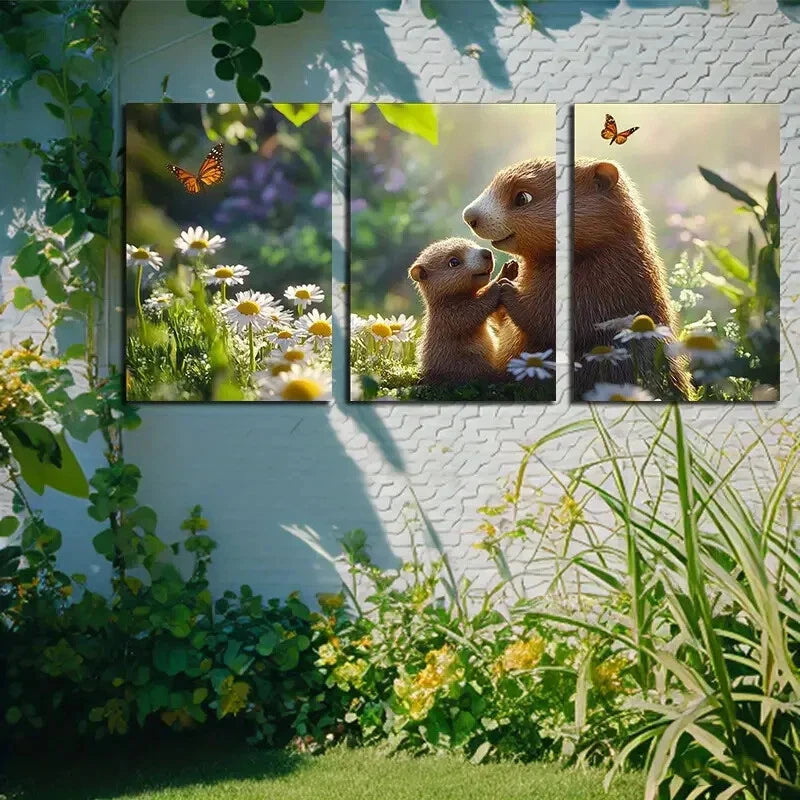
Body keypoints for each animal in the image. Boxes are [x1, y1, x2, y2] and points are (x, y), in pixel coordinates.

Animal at [408, 238, 504, 384]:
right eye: (454, 262)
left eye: (473, 244)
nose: (487, 253)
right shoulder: (446, 316)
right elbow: (469, 314)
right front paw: (497, 284)